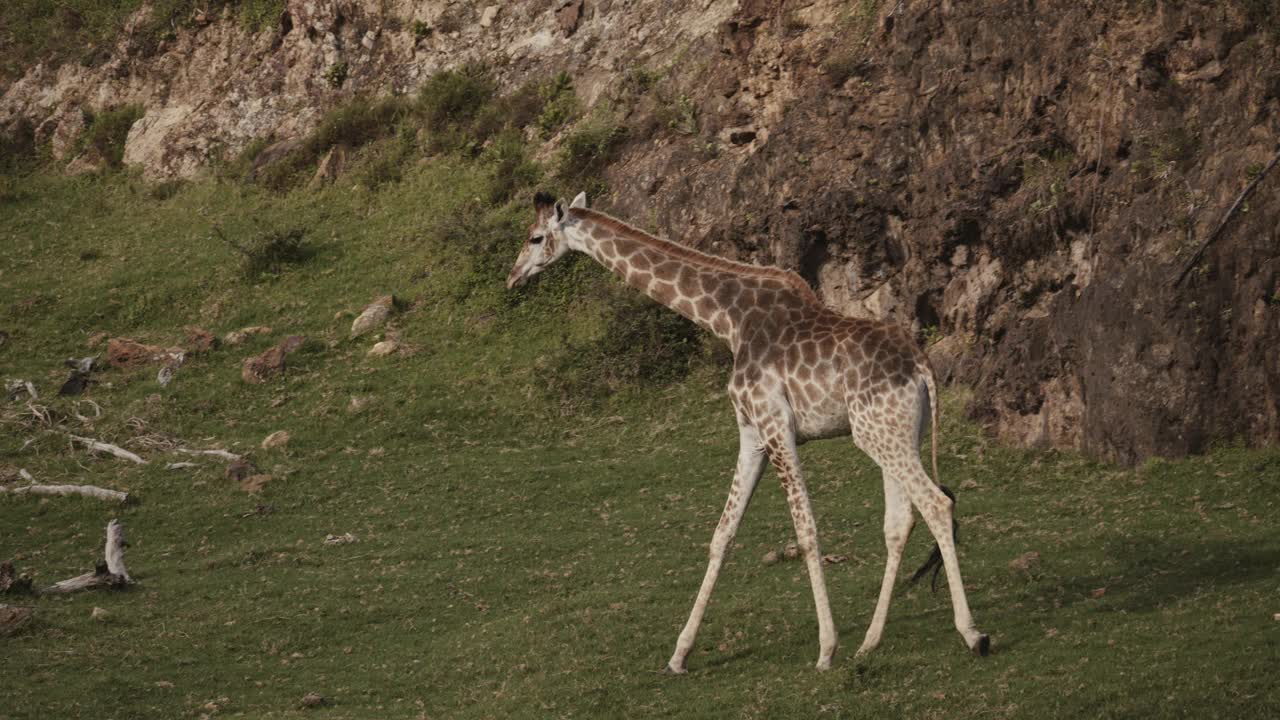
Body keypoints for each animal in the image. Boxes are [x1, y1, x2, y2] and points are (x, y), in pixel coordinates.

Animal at [506, 192, 988, 671]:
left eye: (535, 237)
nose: (513, 277)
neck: (728, 320)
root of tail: (922, 366)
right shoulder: (751, 434)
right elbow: (722, 535)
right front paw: (679, 654)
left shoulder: (776, 426)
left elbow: (806, 531)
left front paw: (826, 648)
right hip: (894, 434)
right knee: (900, 522)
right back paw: (869, 643)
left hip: (878, 434)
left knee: (936, 504)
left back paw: (972, 634)